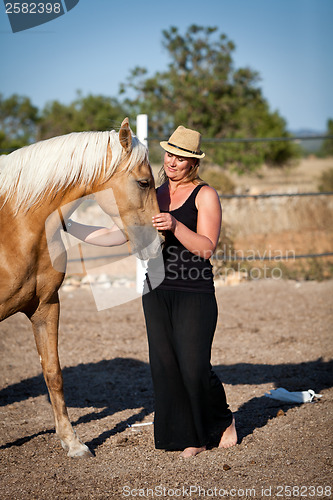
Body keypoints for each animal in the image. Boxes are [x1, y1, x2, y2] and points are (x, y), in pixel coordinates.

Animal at [0, 118, 161, 458]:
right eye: (143, 183)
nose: (158, 242)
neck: (14, 226)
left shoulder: (45, 307)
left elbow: (53, 373)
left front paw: (73, 443)